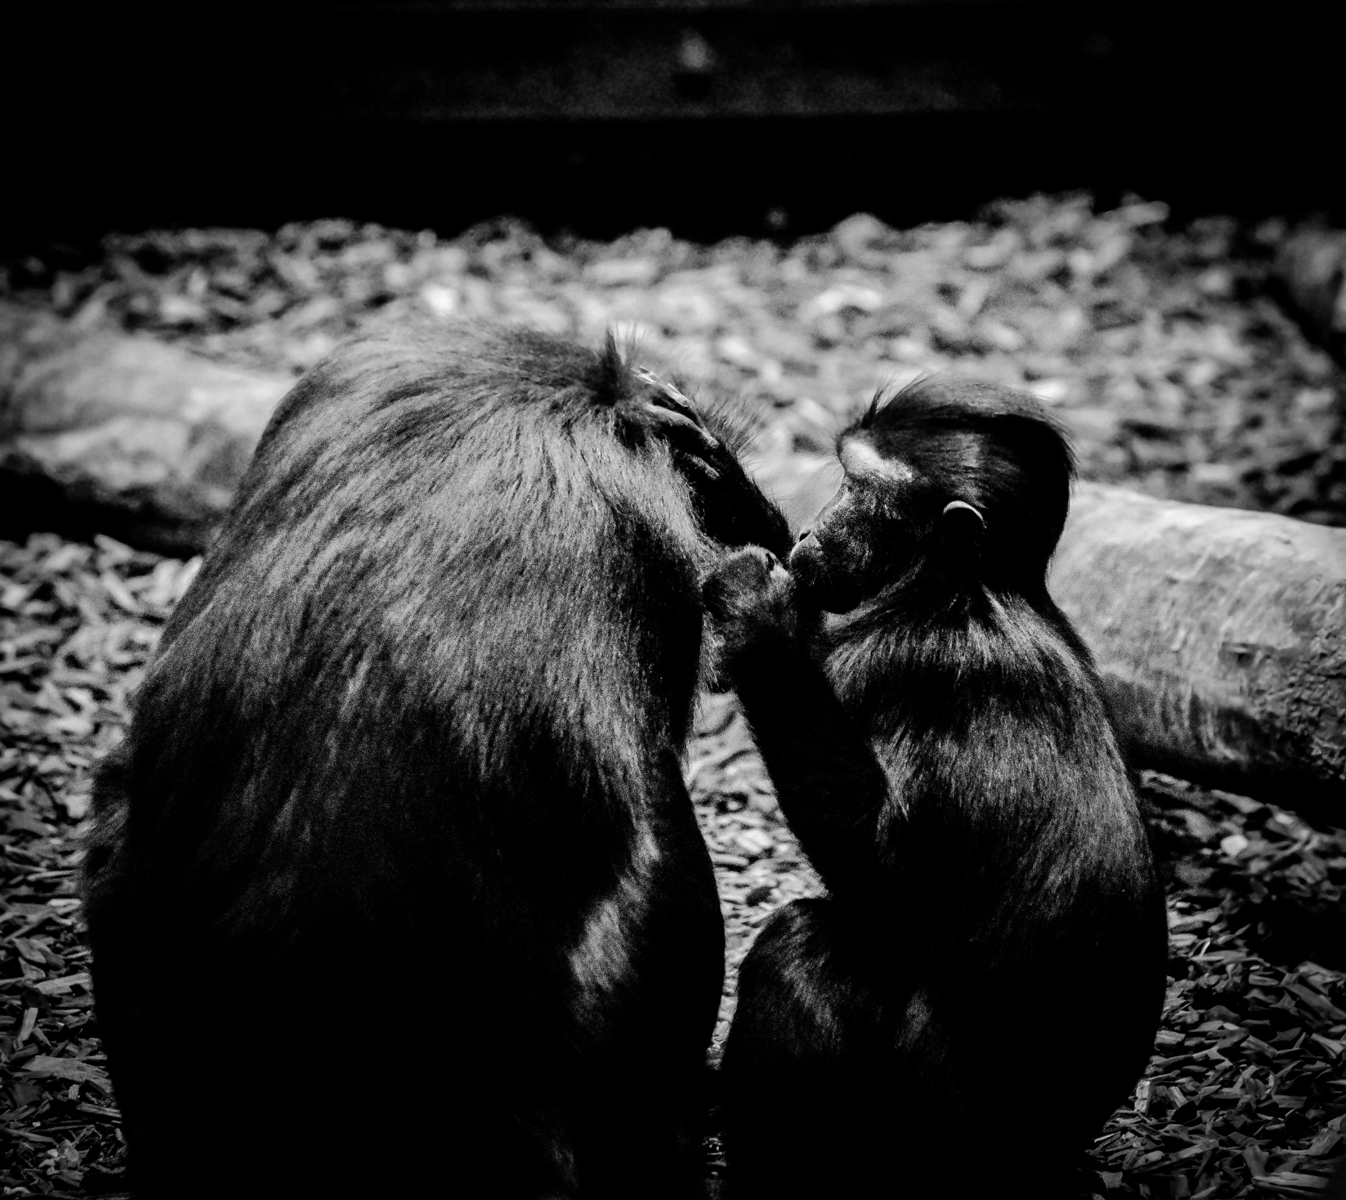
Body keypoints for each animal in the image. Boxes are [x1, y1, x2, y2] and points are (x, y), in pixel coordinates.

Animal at [703, 376, 1167, 1198]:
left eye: (857, 488)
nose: (814, 528)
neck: (956, 586)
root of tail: (1044, 1162)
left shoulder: (911, 662)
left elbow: (889, 876)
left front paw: (758, 624)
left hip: (917, 1153)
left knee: (806, 949)